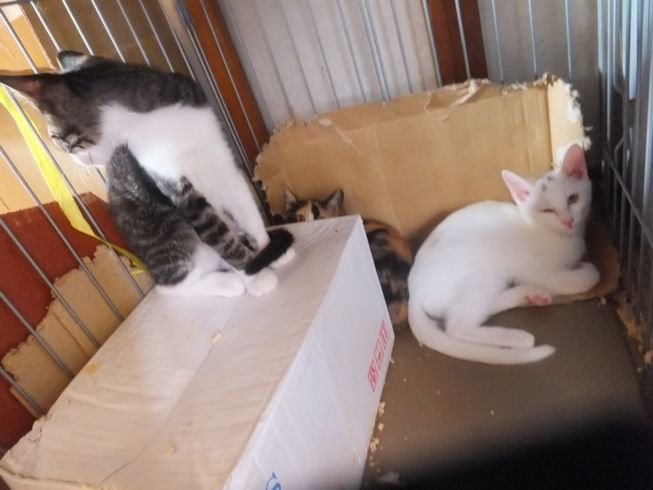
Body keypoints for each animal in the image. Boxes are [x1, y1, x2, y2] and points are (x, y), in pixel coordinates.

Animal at [0, 51, 295, 297]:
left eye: (59, 140)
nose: (75, 161)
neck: (151, 124)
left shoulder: (221, 159)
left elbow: (245, 207)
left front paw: (268, 249)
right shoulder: (172, 185)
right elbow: (217, 236)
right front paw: (255, 274)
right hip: (166, 230)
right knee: (171, 285)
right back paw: (227, 282)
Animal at [408, 144, 600, 365]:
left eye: (573, 199)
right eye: (547, 210)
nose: (568, 221)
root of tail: (413, 292)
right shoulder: (532, 271)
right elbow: (590, 276)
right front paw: (585, 269)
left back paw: (530, 295)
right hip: (480, 272)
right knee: (457, 326)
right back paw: (515, 336)